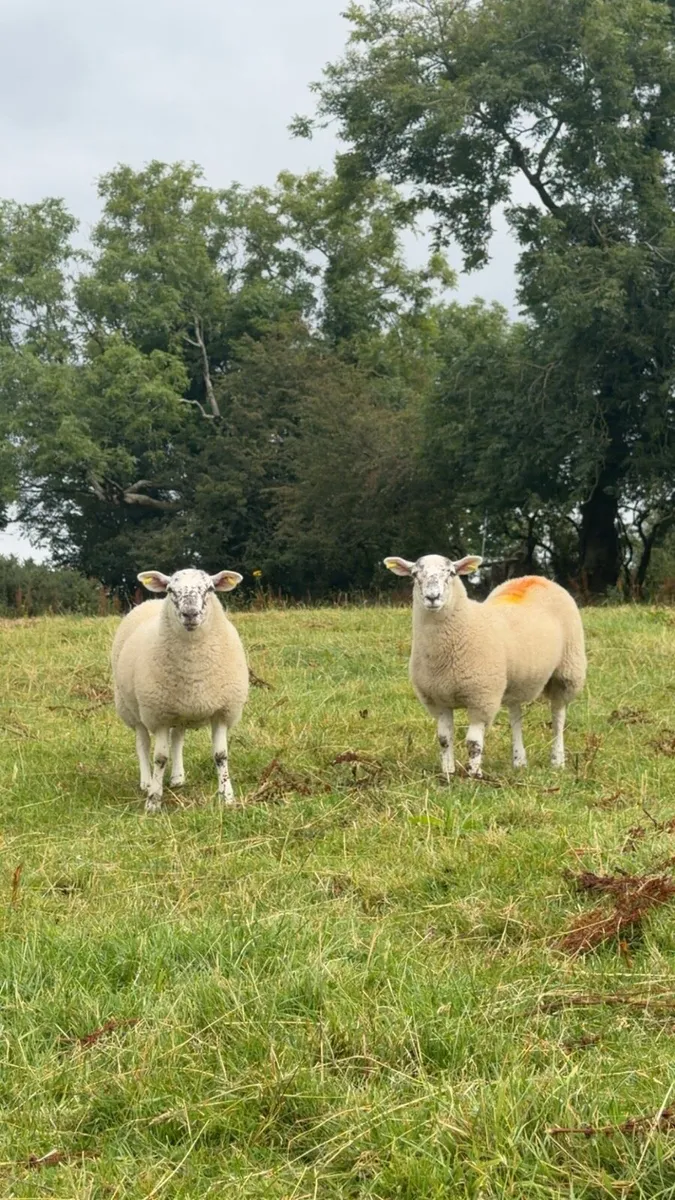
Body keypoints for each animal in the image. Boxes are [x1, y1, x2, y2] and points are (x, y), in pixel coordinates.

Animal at [112, 568, 249, 812]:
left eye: (210, 588)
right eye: (170, 590)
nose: (190, 613)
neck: (194, 672)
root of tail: (150, 601)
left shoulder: (222, 710)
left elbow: (221, 756)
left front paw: (227, 797)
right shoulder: (158, 715)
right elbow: (159, 758)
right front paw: (153, 800)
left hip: (180, 711)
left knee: (177, 739)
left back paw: (177, 778)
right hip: (133, 709)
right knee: (142, 744)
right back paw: (146, 782)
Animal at [384, 554, 586, 778]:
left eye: (451, 573)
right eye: (414, 574)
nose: (432, 597)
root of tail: (536, 578)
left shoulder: (482, 697)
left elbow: (473, 742)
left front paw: (473, 775)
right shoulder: (438, 700)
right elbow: (444, 739)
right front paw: (448, 773)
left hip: (568, 670)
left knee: (558, 716)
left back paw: (557, 760)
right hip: (513, 679)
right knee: (515, 714)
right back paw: (519, 761)